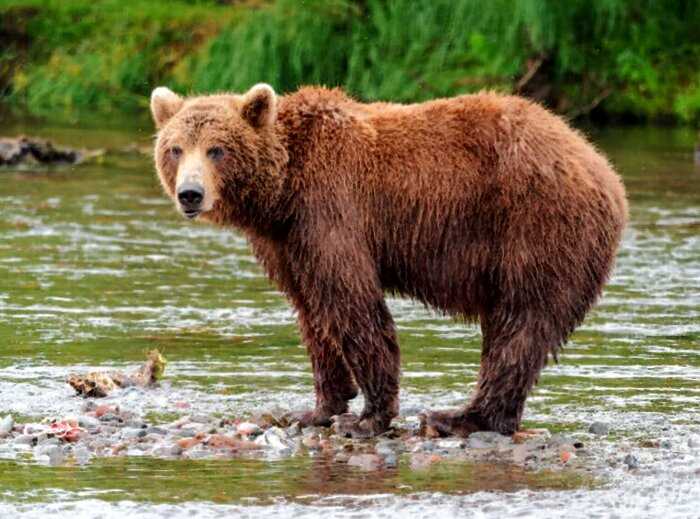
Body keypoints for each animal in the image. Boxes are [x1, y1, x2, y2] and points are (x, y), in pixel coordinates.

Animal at [149, 82, 628, 438]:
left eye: (217, 149)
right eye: (175, 148)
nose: (190, 194)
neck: (282, 191)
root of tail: (603, 169)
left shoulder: (331, 209)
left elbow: (352, 303)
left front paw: (367, 417)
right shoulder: (286, 243)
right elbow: (312, 312)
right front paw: (316, 408)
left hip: (537, 225)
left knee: (520, 323)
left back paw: (459, 417)